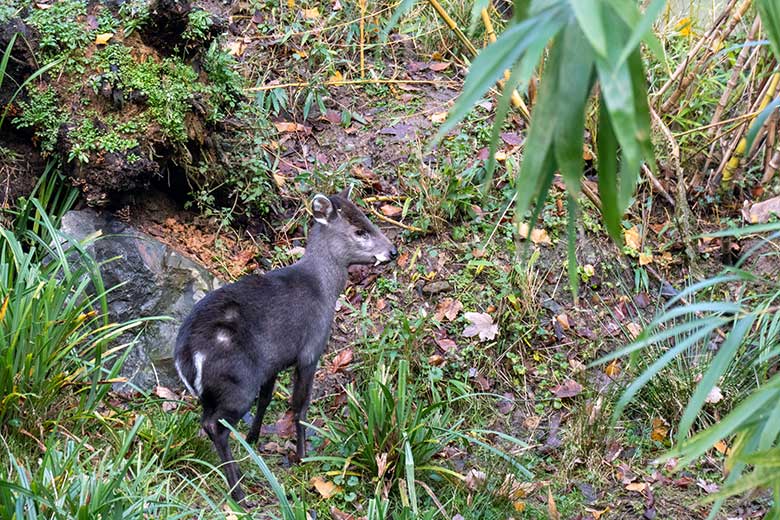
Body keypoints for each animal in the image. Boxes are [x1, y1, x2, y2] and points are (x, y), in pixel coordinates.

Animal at [175, 189, 396, 502]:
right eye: (359, 231)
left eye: (367, 218)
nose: (392, 251)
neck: (322, 288)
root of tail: (186, 355)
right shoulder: (310, 350)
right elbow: (300, 406)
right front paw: (303, 457)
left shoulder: (272, 362)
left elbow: (267, 399)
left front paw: (254, 438)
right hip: (238, 383)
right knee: (215, 426)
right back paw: (238, 492)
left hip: (214, 392)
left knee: (210, 421)